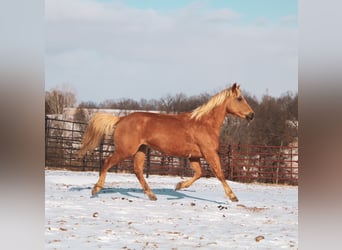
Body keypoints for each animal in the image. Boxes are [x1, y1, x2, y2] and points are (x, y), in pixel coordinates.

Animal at [78, 83, 254, 202]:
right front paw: (233, 196)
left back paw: (152, 195)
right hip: (125, 150)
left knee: (138, 170)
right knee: (107, 162)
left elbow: (199, 173)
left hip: (141, 150)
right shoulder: (209, 153)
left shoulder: (194, 156)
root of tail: (121, 119)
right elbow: (219, 174)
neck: (204, 123)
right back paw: (96, 189)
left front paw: (178, 186)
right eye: (239, 98)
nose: (251, 115)